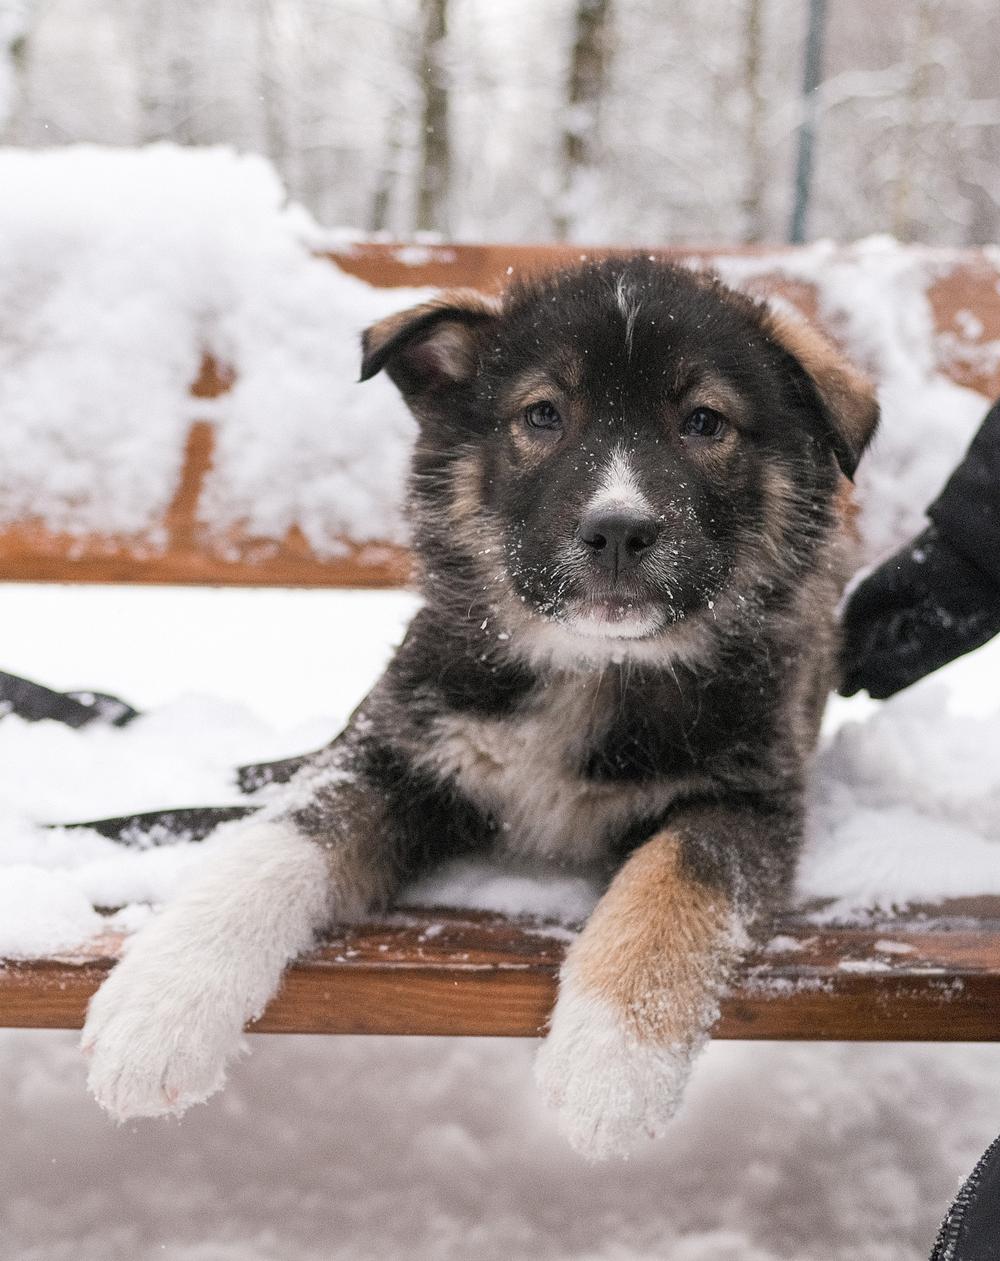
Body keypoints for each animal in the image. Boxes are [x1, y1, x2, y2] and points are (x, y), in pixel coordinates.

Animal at [83, 255, 872, 1160]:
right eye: (542, 414)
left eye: (705, 422)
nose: (618, 531)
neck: (590, 665)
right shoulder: (395, 748)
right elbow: (278, 839)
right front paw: (159, 1008)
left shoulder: (747, 796)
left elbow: (677, 878)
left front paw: (610, 1065)